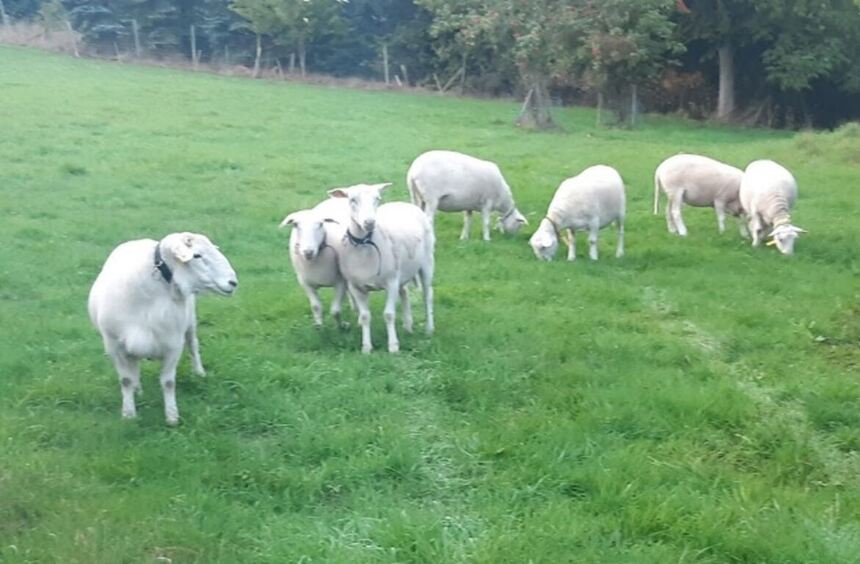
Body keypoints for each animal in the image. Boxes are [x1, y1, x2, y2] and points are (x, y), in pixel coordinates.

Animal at [88, 232, 238, 424]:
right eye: (197, 255)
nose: (233, 282)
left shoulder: (173, 344)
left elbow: (168, 383)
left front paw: (172, 416)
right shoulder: (113, 344)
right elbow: (126, 380)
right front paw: (129, 414)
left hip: (190, 321)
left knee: (193, 345)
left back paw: (199, 373)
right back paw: (138, 389)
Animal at [279, 197, 351, 327]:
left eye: (321, 224)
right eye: (296, 225)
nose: (308, 251)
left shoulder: (341, 282)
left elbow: (335, 311)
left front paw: (341, 326)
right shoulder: (305, 283)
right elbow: (316, 306)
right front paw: (319, 326)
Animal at [327, 183, 435, 354]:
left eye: (377, 198)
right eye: (352, 199)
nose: (370, 222)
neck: (366, 245)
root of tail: (403, 204)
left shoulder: (391, 282)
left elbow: (389, 315)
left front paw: (393, 346)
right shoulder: (356, 287)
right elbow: (365, 316)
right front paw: (366, 347)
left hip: (427, 262)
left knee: (427, 295)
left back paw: (429, 329)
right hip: (401, 271)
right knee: (405, 293)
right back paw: (408, 326)